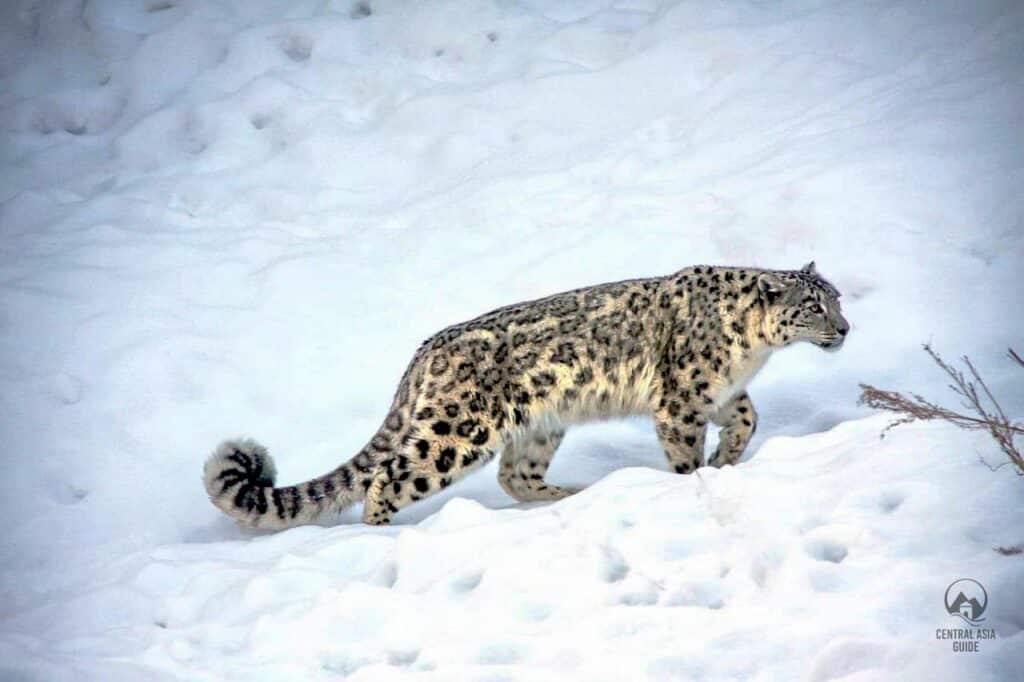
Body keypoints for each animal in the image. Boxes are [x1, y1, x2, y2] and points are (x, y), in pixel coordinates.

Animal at [204, 261, 848, 529]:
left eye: (837, 298)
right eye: (814, 306)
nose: (845, 329)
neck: (752, 353)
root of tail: (424, 352)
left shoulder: (723, 392)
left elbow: (748, 418)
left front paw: (729, 457)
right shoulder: (681, 399)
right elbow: (685, 452)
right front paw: (698, 477)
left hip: (540, 425)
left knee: (516, 475)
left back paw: (572, 493)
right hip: (456, 434)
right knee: (391, 476)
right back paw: (385, 532)